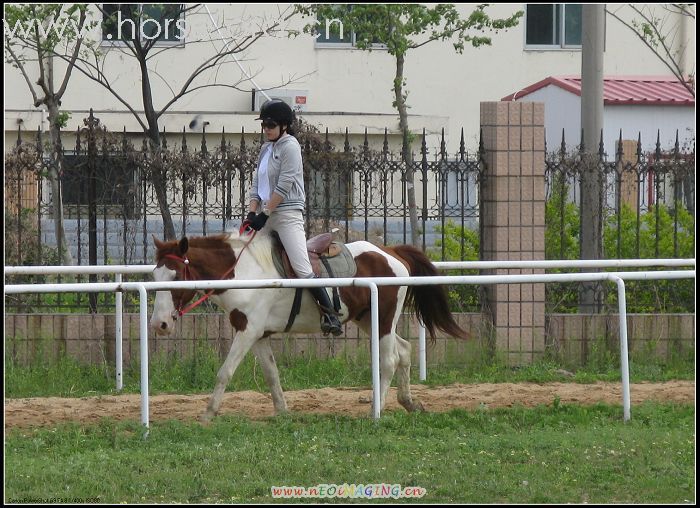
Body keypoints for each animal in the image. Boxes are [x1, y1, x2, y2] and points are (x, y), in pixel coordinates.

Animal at [152, 228, 470, 422]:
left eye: (176, 276)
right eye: (154, 277)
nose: (160, 324)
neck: (244, 272)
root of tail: (391, 251)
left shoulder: (247, 331)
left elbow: (224, 372)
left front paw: (207, 415)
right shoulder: (259, 335)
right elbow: (271, 375)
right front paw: (283, 413)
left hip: (383, 319)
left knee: (390, 359)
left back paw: (376, 409)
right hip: (368, 319)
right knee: (403, 351)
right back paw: (409, 402)